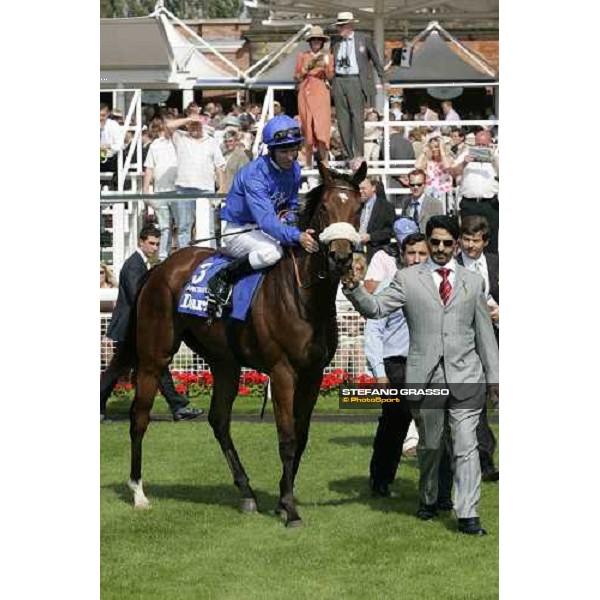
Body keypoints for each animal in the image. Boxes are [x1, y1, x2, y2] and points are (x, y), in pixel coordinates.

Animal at [123, 159, 366, 524]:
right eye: (325, 207)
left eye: (358, 207)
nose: (340, 257)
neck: (305, 296)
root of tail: (161, 267)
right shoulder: (282, 371)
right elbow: (287, 438)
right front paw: (290, 509)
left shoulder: (313, 374)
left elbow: (302, 436)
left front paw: (282, 498)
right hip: (155, 355)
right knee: (139, 416)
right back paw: (138, 492)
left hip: (224, 363)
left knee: (219, 421)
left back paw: (246, 492)